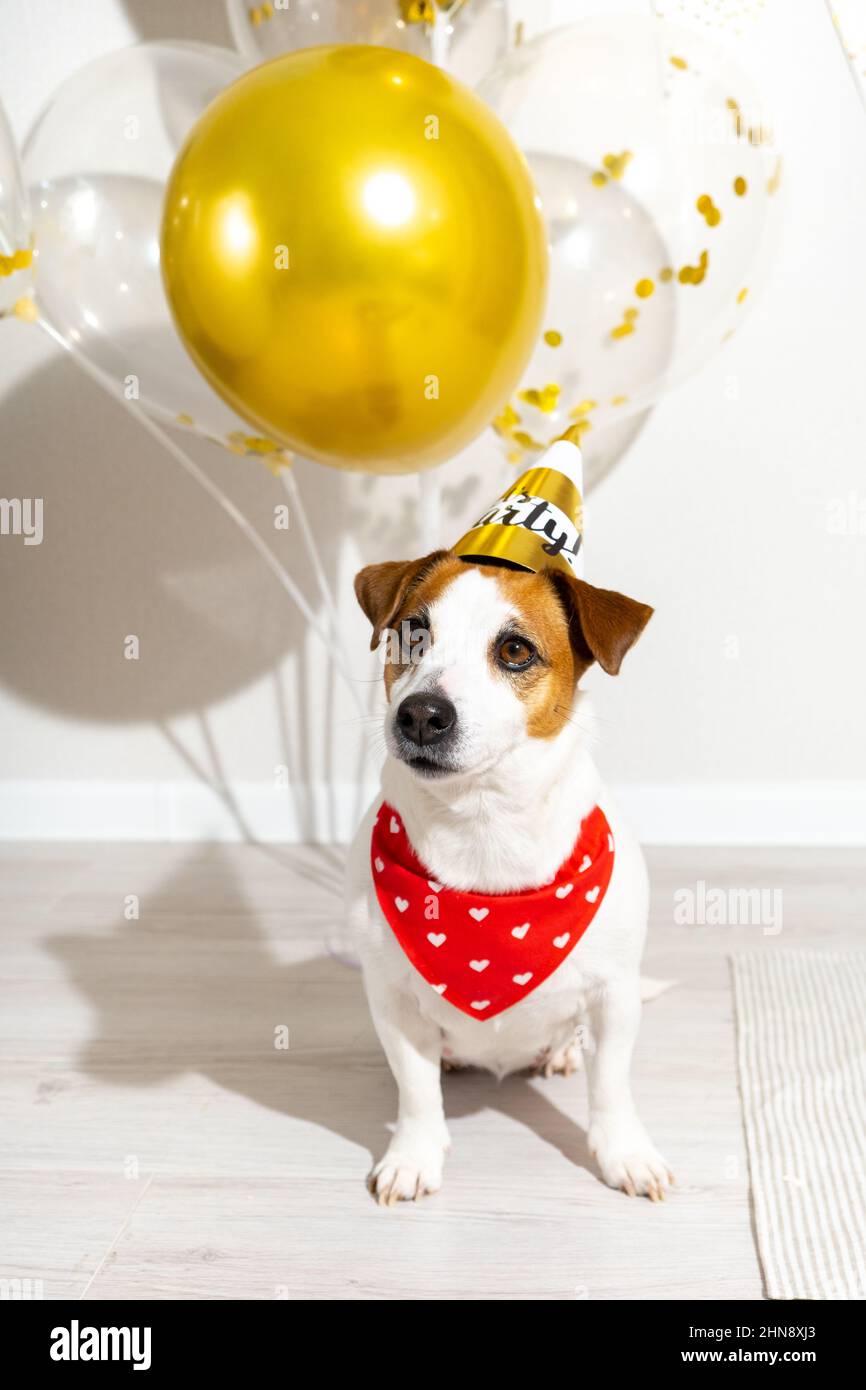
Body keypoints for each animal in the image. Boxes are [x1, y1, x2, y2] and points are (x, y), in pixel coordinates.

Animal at [341, 442, 675, 1206]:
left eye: (516, 651)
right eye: (413, 632)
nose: (421, 714)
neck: (483, 822)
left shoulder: (613, 997)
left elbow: (612, 1088)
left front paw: (624, 1154)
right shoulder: (391, 998)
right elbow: (416, 1092)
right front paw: (414, 1155)